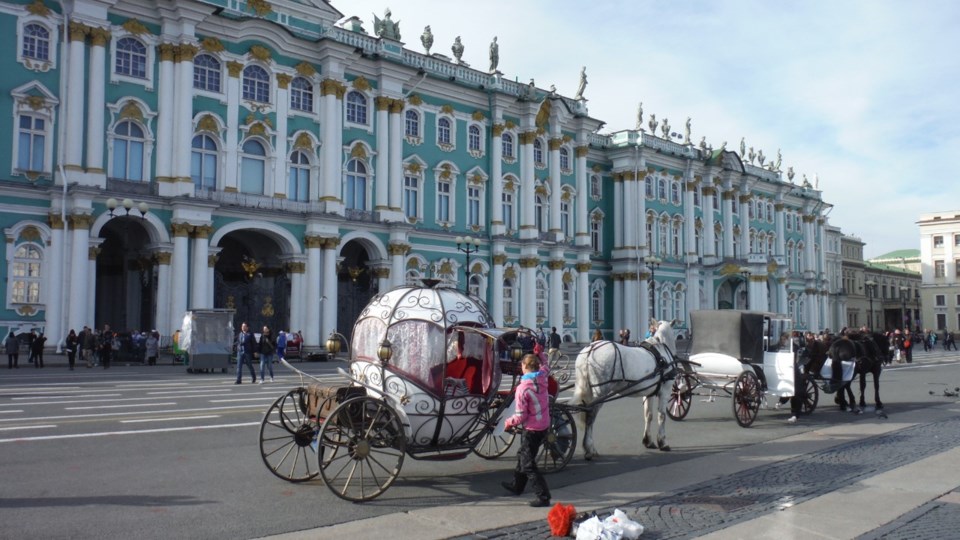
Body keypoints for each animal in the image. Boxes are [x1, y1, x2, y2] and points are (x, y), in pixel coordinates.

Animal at [572, 320, 680, 460]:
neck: (661, 351)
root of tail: (590, 349)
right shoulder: (665, 391)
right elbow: (662, 416)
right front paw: (663, 442)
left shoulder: (649, 393)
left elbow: (648, 415)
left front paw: (648, 441)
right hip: (600, 393)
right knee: (590, 417)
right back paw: (590, 449)